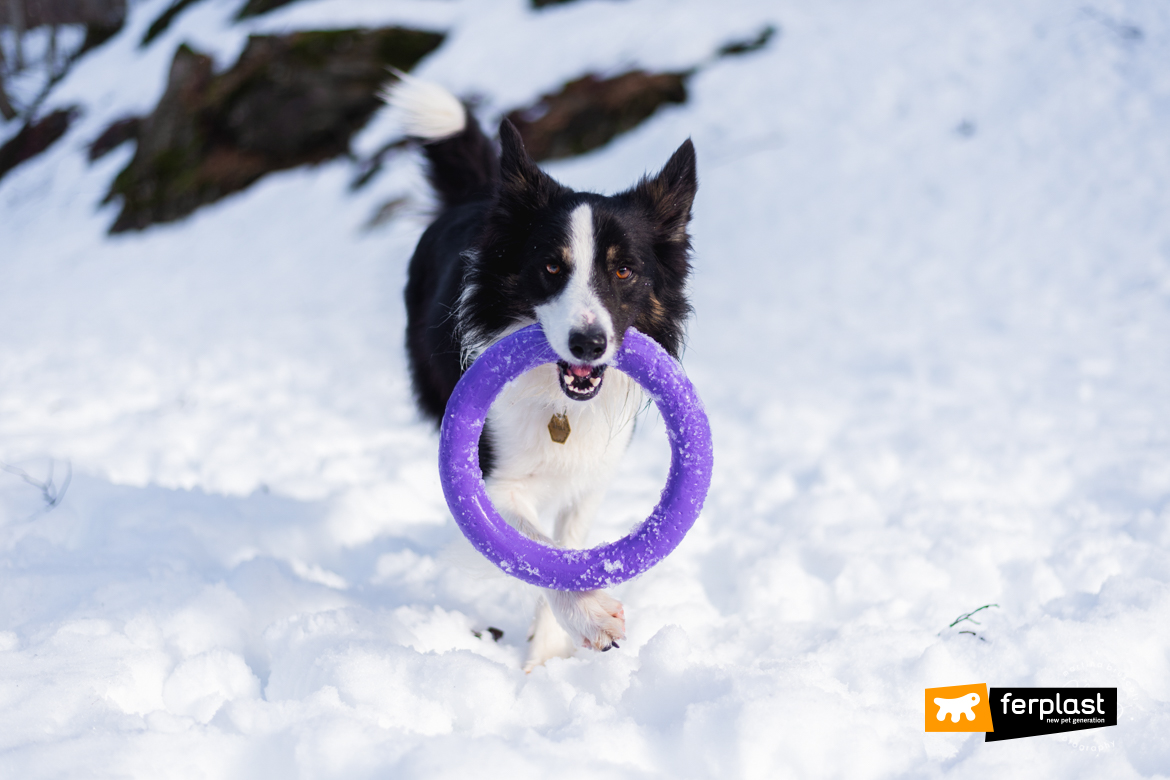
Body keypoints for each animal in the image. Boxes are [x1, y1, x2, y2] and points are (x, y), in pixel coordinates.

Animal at [386, 73, 692, 673]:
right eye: (552, 266)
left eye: (625, 270)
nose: (589, 344)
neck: (561, 403)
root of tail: (483, 195)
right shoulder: (492, 480)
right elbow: (539, 551)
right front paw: (590, 618)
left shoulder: (591, 478)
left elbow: (566, 550)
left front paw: (549, 652)